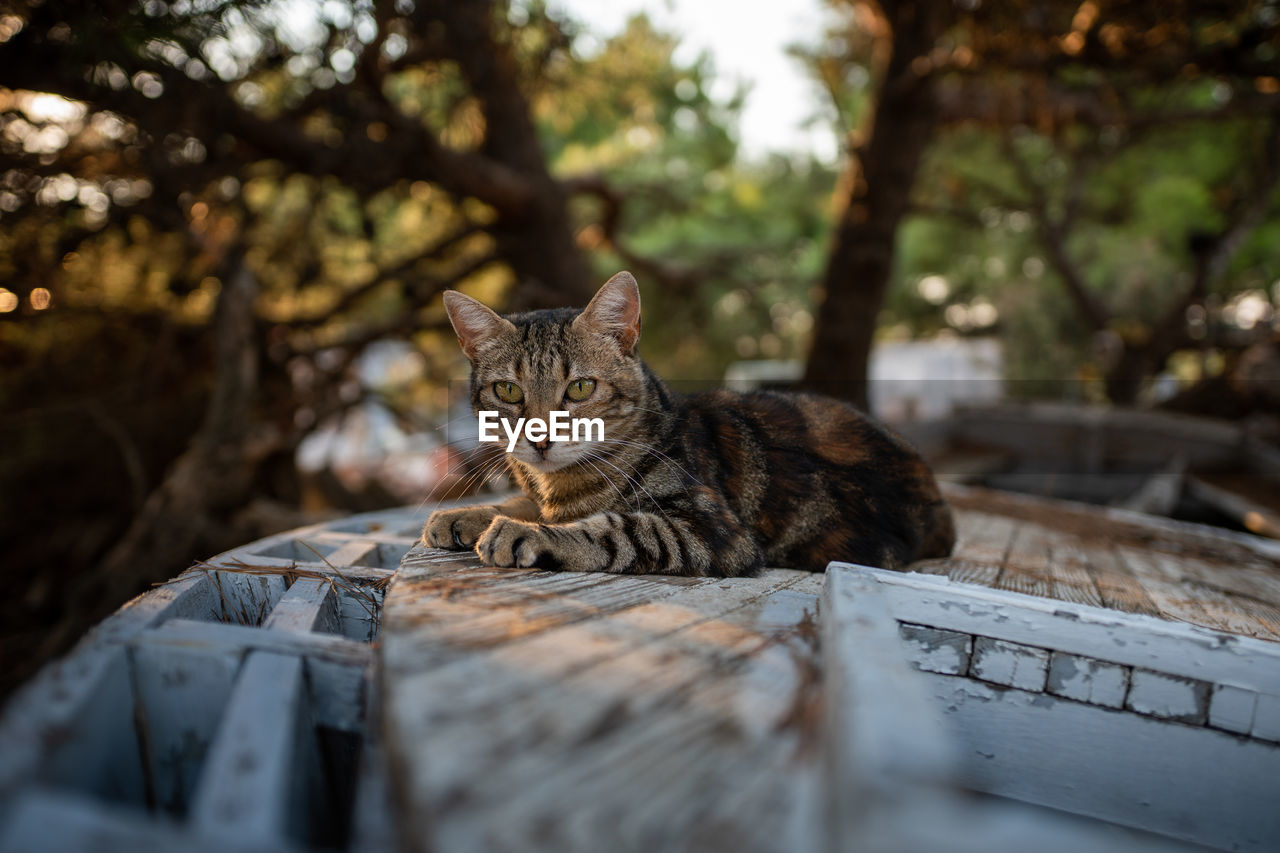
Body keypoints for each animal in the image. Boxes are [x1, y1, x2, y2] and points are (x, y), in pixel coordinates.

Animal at [424, 270, 957, 578]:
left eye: (579, 388)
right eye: (508, 392)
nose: (539, 439)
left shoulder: (712, 530)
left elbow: (611, 529)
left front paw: (521, 532)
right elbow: (526, 501)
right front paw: (462, 515)